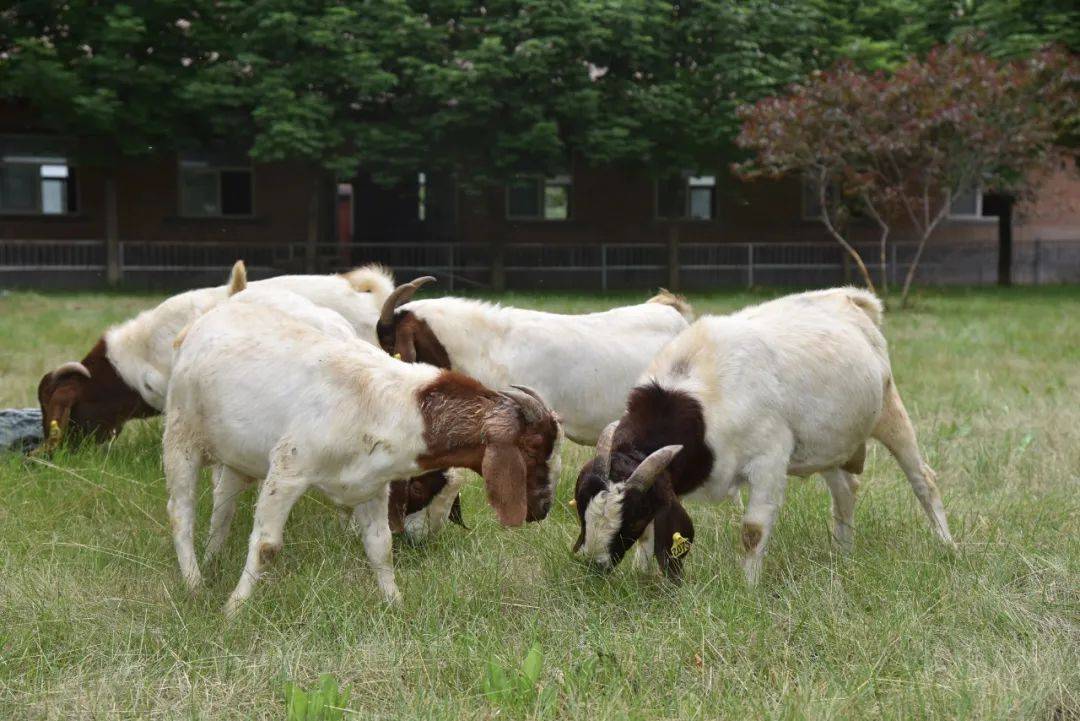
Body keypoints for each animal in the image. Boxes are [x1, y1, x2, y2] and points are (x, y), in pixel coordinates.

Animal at [166, 287, 565, 613]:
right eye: (533, 446)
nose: (543, 508)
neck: (387, 403)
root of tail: (202, 322)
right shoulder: (288, 469)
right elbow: (266, 546)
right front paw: (233, 609)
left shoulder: (371, 487)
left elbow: (380, 546)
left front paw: (394, 604)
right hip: (180, 437)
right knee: (181, 513)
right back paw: (194, 584)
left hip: (238, 457)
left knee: (223, 507)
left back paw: (213, 560)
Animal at [574, 287, 954, 587]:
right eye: (582, 508)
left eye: (634, 516)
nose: (596, 565)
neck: (695, 400)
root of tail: (850, 298)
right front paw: (642, 571)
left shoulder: (768, 459)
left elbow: (752, 531)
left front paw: (748, 588)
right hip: (829, 445)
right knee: (846, 491)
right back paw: (842, 554)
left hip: (889, 410)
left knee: (923, 480)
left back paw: (947, 545)